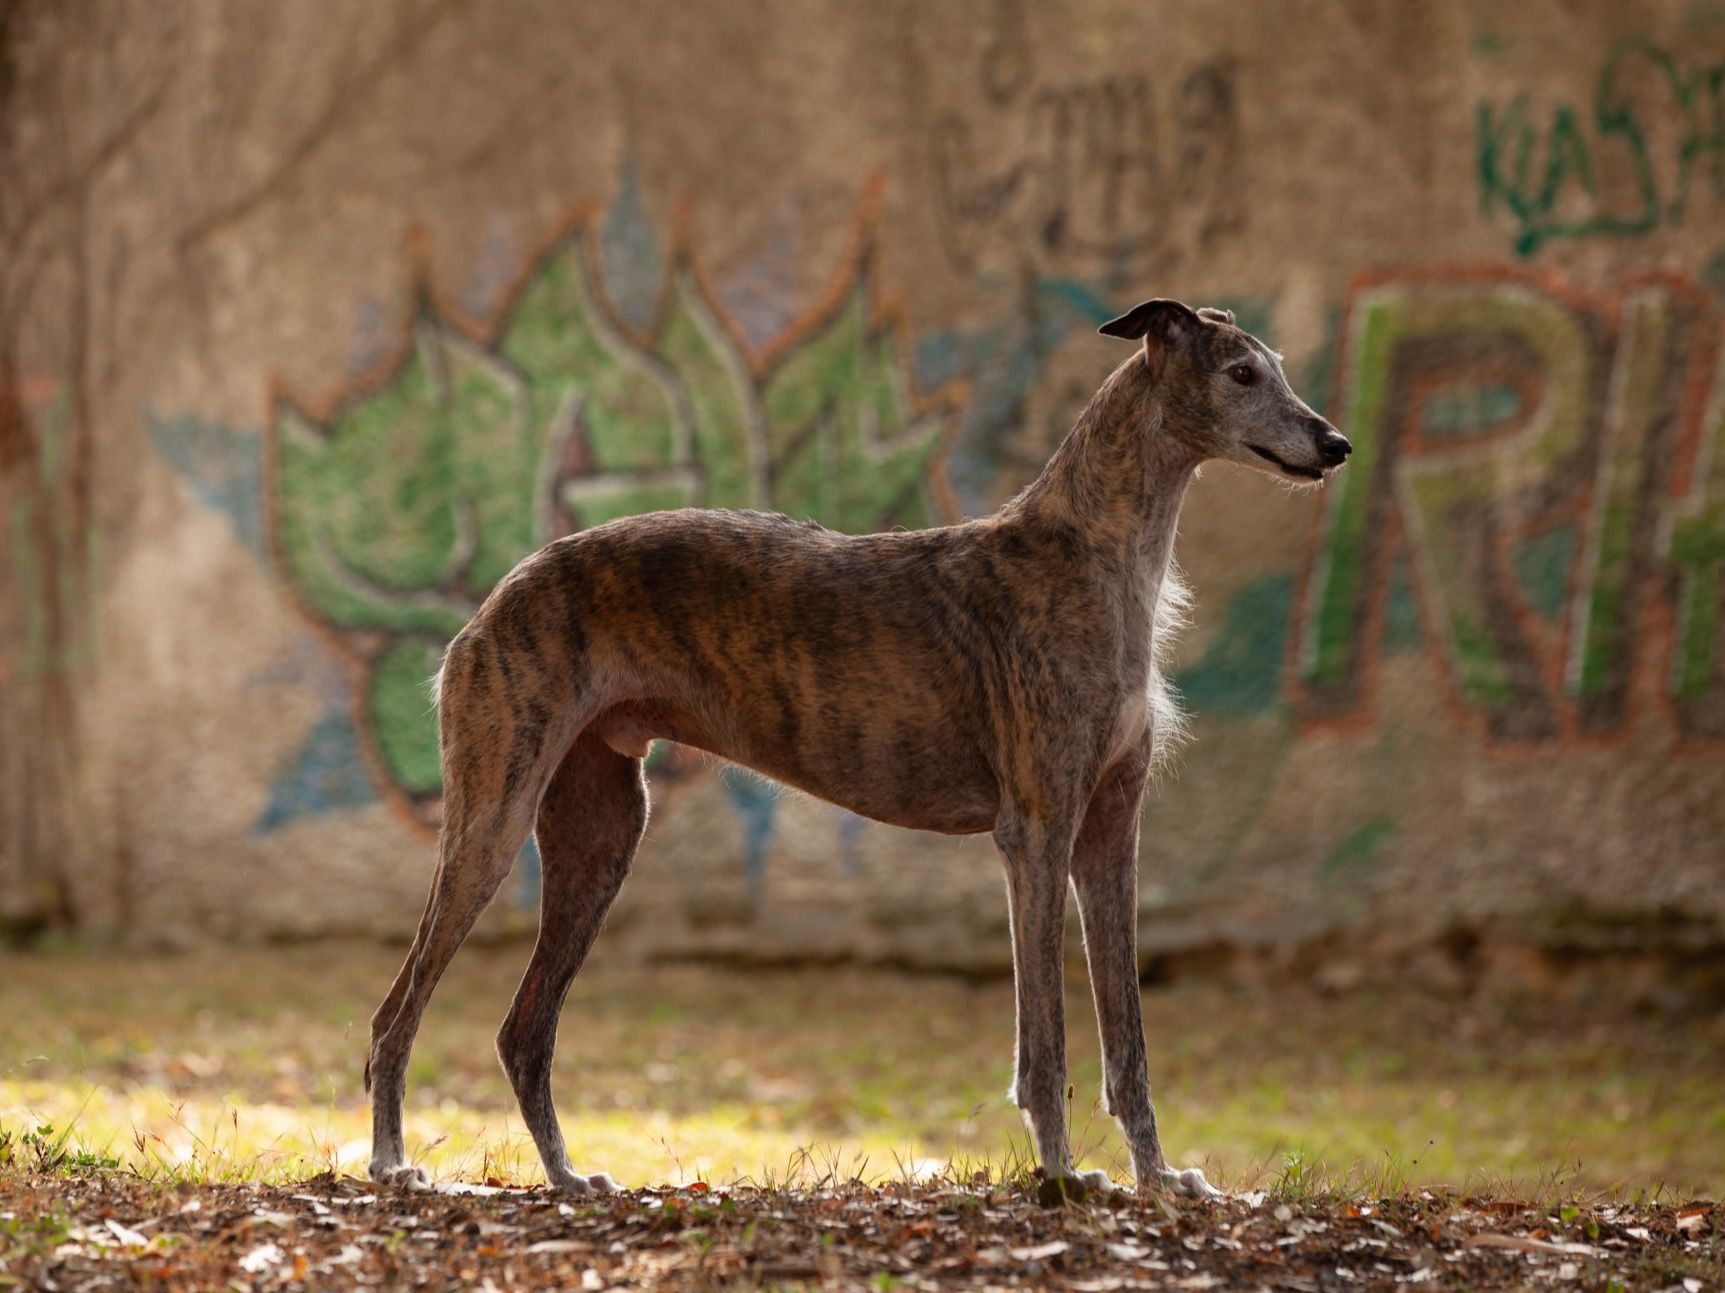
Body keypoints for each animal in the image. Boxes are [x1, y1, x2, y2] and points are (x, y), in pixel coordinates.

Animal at [363, 298, 1352, 1199]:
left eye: (1275, 368)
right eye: (1240, 374)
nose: (1335, 444)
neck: (1091, 550)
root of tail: (502, 591)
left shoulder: (1109, 834)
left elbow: (1129, 1038)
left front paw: (1159, 1176)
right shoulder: (1036, 832)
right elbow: (1047, 1040)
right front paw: (1063, 1175)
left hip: (601, 833)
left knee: (523, 1030)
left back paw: (567, 1175)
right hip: (492, 819)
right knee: (393, 1016)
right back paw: (391, 1162)